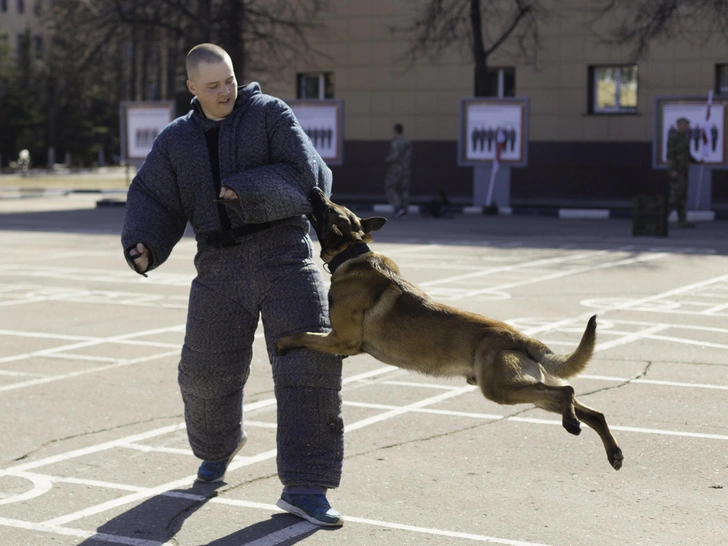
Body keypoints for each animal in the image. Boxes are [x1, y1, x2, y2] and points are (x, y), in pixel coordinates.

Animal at [276, 187, 624, 468]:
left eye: (326, 208)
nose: (315, 189)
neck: (352, 253)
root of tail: (521, 337)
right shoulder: (339, 341)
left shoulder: (340, 340)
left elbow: (303, 334)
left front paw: (282, 342)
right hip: (521, 389)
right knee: (591, 411)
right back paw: (609, 449)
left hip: (501, 389)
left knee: (568, 391)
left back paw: (573, 423)